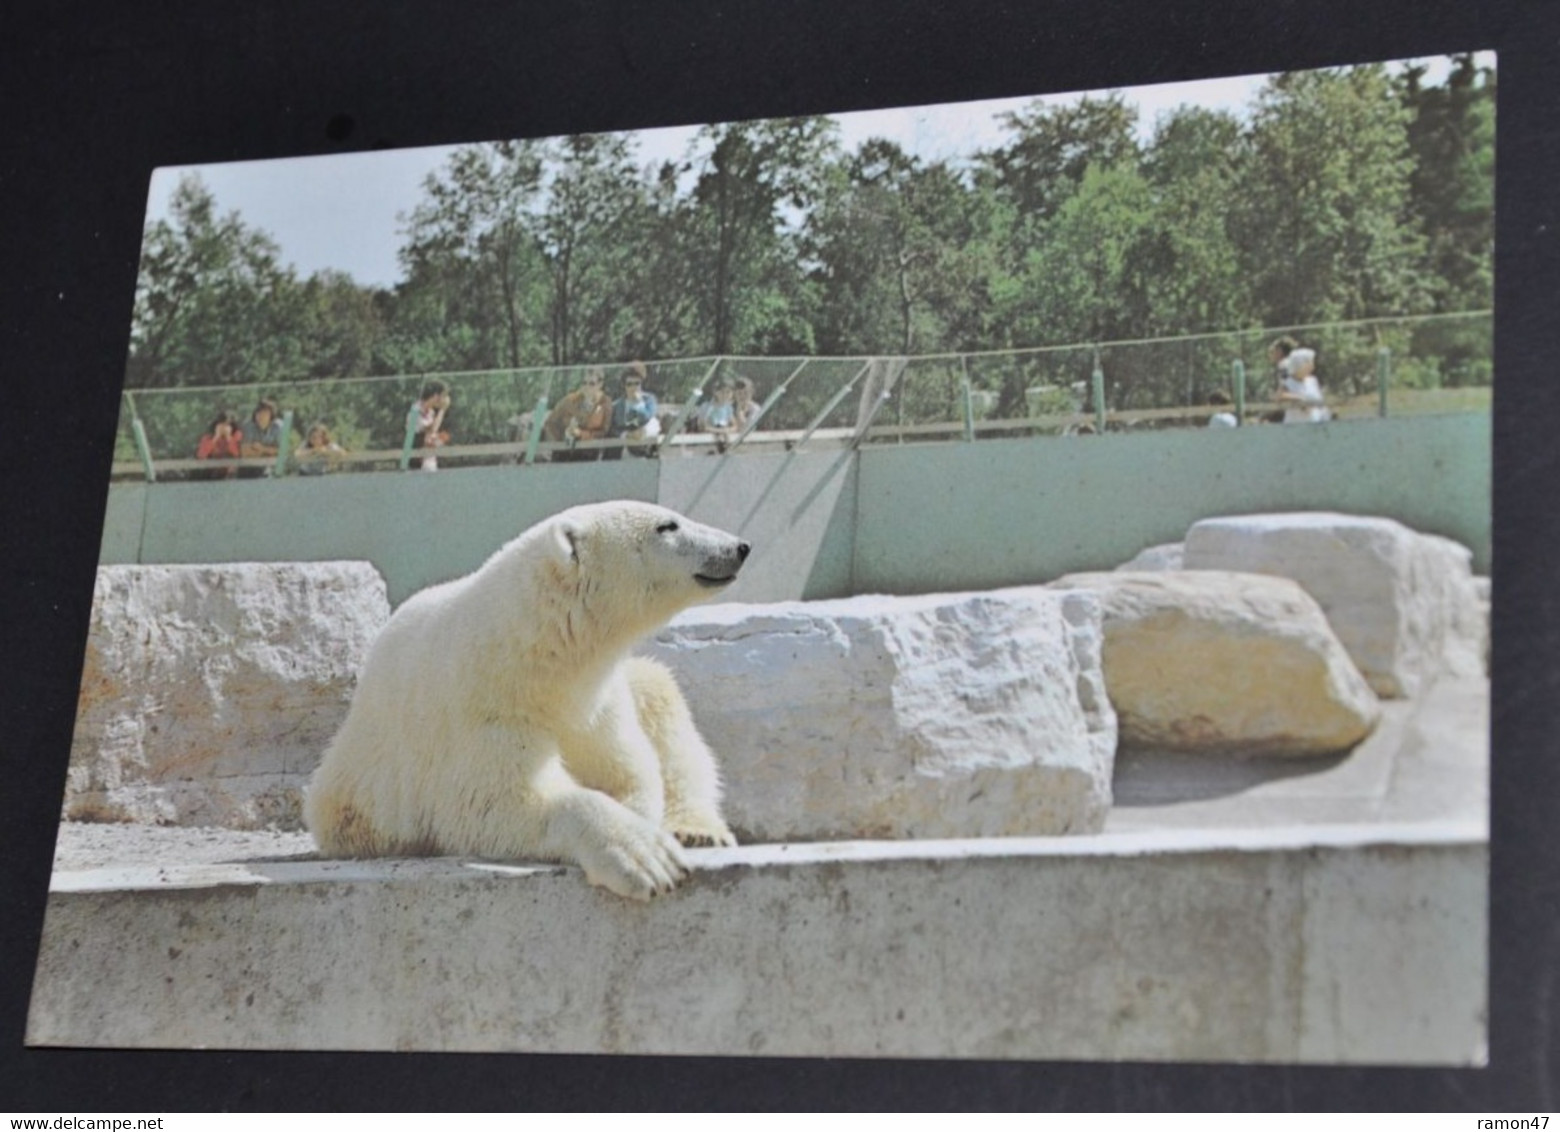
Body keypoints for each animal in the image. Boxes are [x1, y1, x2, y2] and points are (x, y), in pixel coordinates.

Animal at [302, 505, 748, 904]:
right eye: (667, 525)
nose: (739, 546)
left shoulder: (597, 704)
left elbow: (631, 771)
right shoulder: (487, 711)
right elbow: (494, 802)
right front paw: (646, 859)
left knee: (663, 700)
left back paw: (699, 830)